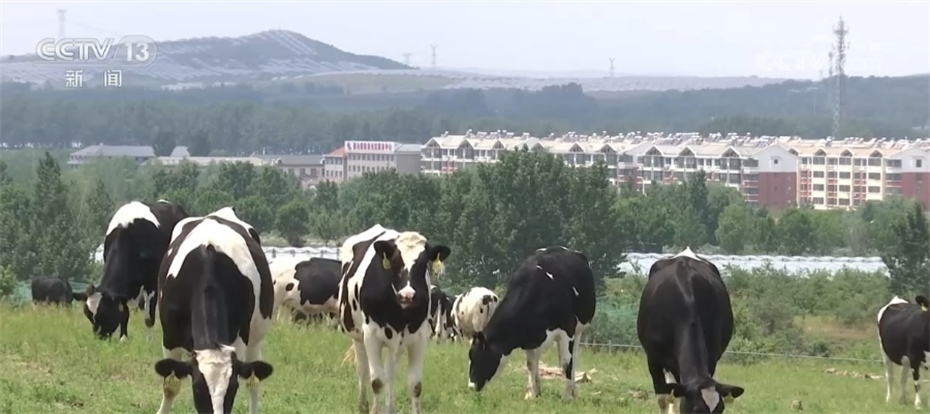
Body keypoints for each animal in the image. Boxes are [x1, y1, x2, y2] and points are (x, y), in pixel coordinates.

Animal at [81, 200, 188, 341]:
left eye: (105, 313)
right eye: (89, 316)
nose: (99, 338)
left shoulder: (152, 283)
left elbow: (149, 317)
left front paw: (149, 342)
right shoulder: (123, 290)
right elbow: (124, 313)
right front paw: (123, 339)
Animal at [152, 215, 274, 414]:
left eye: (232, 388)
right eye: (197, 388)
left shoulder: (239, 340)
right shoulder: (170, 338)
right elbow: (170, 387)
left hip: (256, 338)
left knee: (253, 384)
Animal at [337, 224, 451, 414]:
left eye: (423, 264)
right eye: (396, 262)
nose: (407, 295)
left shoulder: (419, 338)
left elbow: (415, 385)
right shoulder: (371, 335)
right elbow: (377, 381)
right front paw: (374, 410)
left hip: (396, 343)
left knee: (390, 373)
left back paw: (389, 408)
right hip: (357, 335)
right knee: (364, 371)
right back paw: (363, 406)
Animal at [468, 246, 595, 401]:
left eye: (478, 356)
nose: (471, 386)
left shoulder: (568, 329)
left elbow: (566, 363)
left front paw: (567, 397)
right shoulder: (527, 338)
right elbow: (530, 364)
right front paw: (533, 394)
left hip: (579, 330)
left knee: (573, 358)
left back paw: (572, 391)